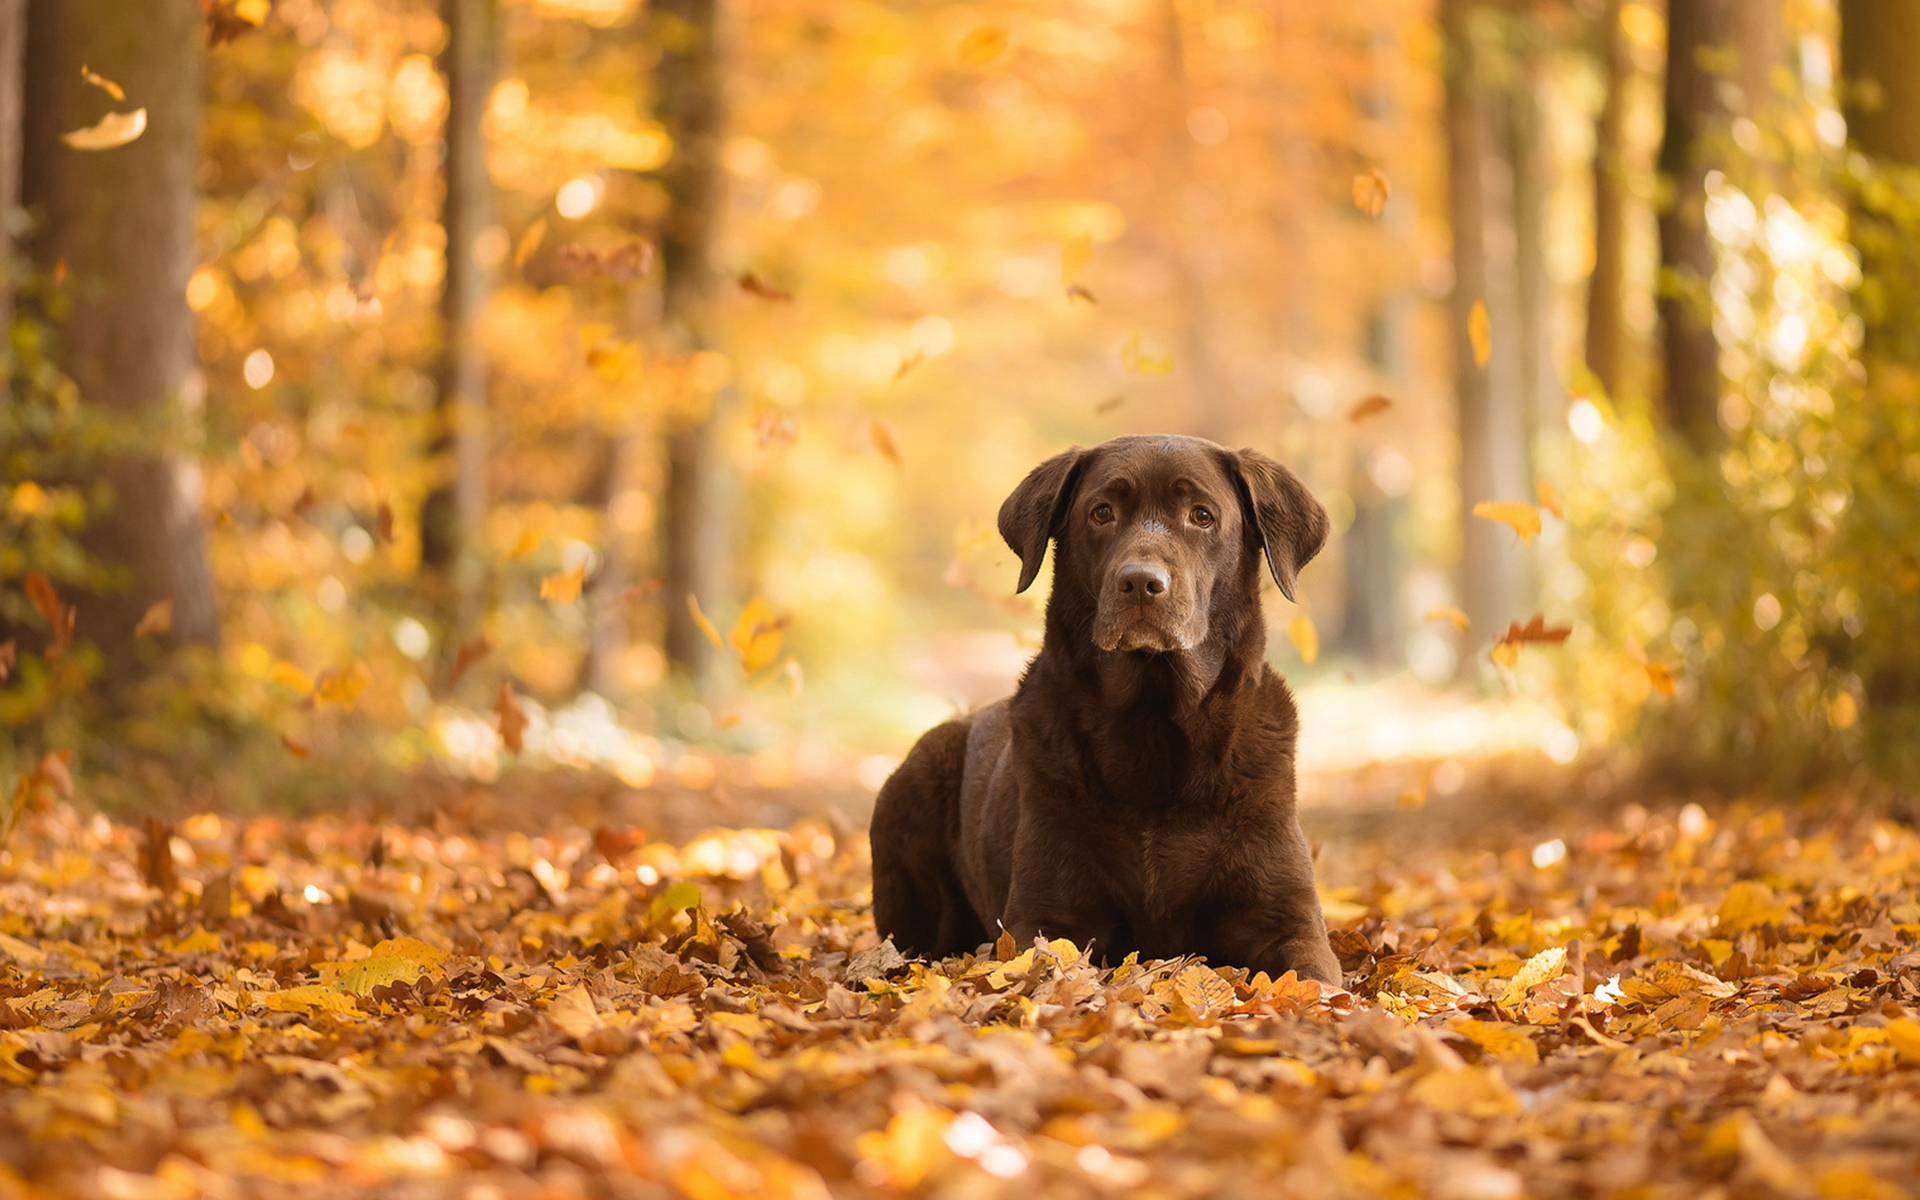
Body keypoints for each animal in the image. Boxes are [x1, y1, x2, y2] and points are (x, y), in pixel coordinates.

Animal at [867, 432, 1336, 983]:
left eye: (1201, 515)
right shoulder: (1046, 917)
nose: (1140, 582)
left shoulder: (1286, 918)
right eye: (1102, 512)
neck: (1152, 729)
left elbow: (1311, 977)